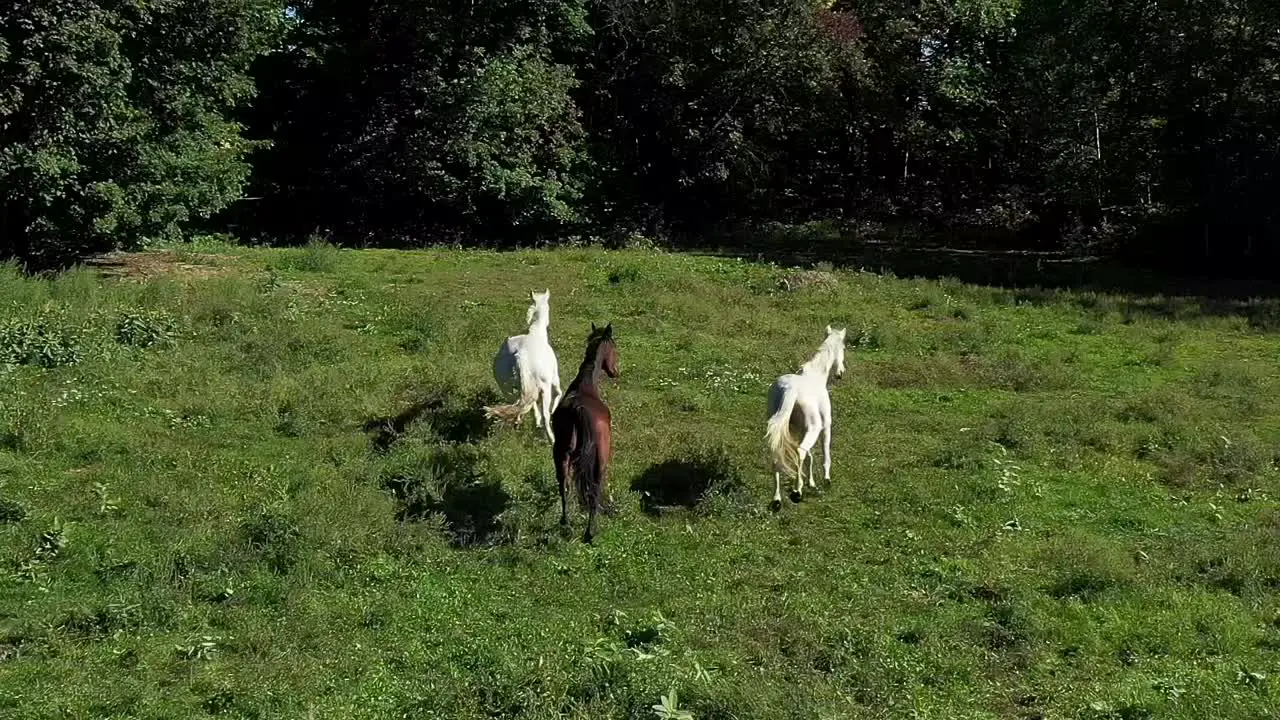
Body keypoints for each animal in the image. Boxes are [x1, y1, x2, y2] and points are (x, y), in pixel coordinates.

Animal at [481, 288, 563, 440]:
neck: (536, 333)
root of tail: (521, 355)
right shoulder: (554, 380)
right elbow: (558, 395)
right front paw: (552, 410)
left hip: (506, 387)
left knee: (517, 403)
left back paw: (518, 421)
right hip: (544, 388)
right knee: (545, 415)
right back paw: (551, 438)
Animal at [552, 322, 622, 540]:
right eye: (614, 348)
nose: (616, 371)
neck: (586, 385)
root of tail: (578, 409)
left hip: (561, 453)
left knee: (564, 484)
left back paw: (565, 522)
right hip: (600, 458)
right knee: (594, 487)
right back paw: (590, 532)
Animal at [762, 322, 844, 502]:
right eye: (844, 347)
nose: (840, 373)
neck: (816, 376)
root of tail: (788, 389)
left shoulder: (797, 429)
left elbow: (809, 456)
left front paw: (811, 482)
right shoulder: (826, 425)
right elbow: (824, 453)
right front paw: (826, 480)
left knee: (779, 453)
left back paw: (777, 499)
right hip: (814, 428)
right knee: (800, 451)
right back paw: (796, 491)